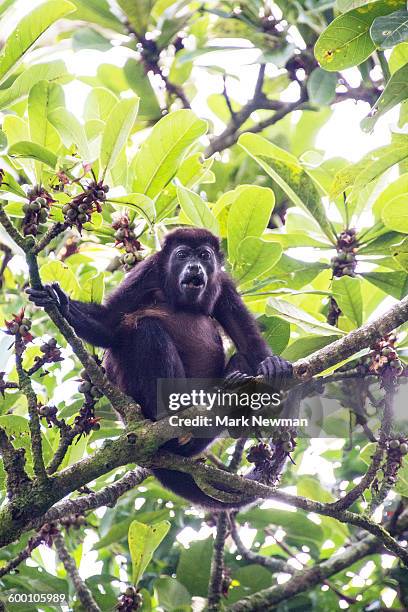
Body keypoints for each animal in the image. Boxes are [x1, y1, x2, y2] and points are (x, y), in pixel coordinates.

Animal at [27, 228, 292, 506]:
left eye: (204, 255)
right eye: (182, 255)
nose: (194, 266)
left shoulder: (225, 285)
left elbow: (247, 342)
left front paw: (272, 365)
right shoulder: (147, 271)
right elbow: (110, 325)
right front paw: (60, 302)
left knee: (241, 359)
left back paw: (233, 381)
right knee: (147, 329)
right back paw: (171, 410)